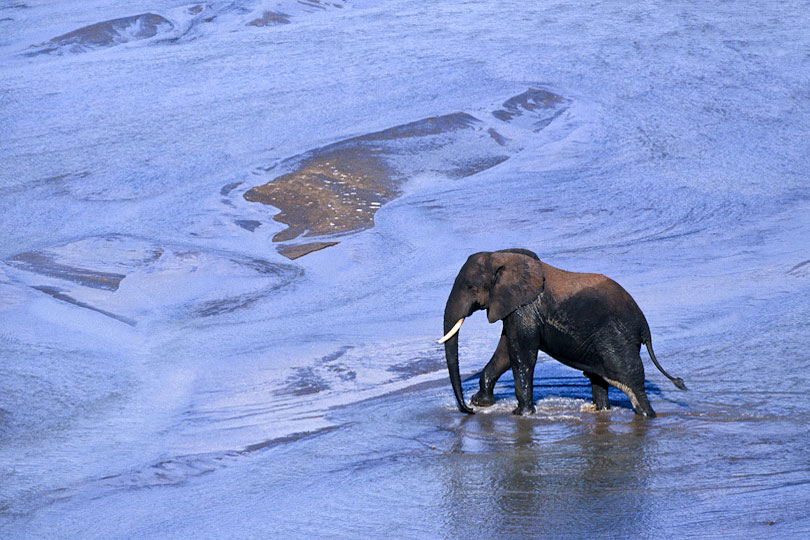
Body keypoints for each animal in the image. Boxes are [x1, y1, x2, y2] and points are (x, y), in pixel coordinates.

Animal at [438, 249, 684, 418]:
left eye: (471, 287)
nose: (468, 410)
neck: (503, 256)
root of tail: (645, 328)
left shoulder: (525, 309)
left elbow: (521, 355)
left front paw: (521, 414)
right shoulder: (514, 308)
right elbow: (506, 352)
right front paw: (482, 403)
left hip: (617, 338)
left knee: (631, 381)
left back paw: (646, 415)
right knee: (599, 378)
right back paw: (600, 410)